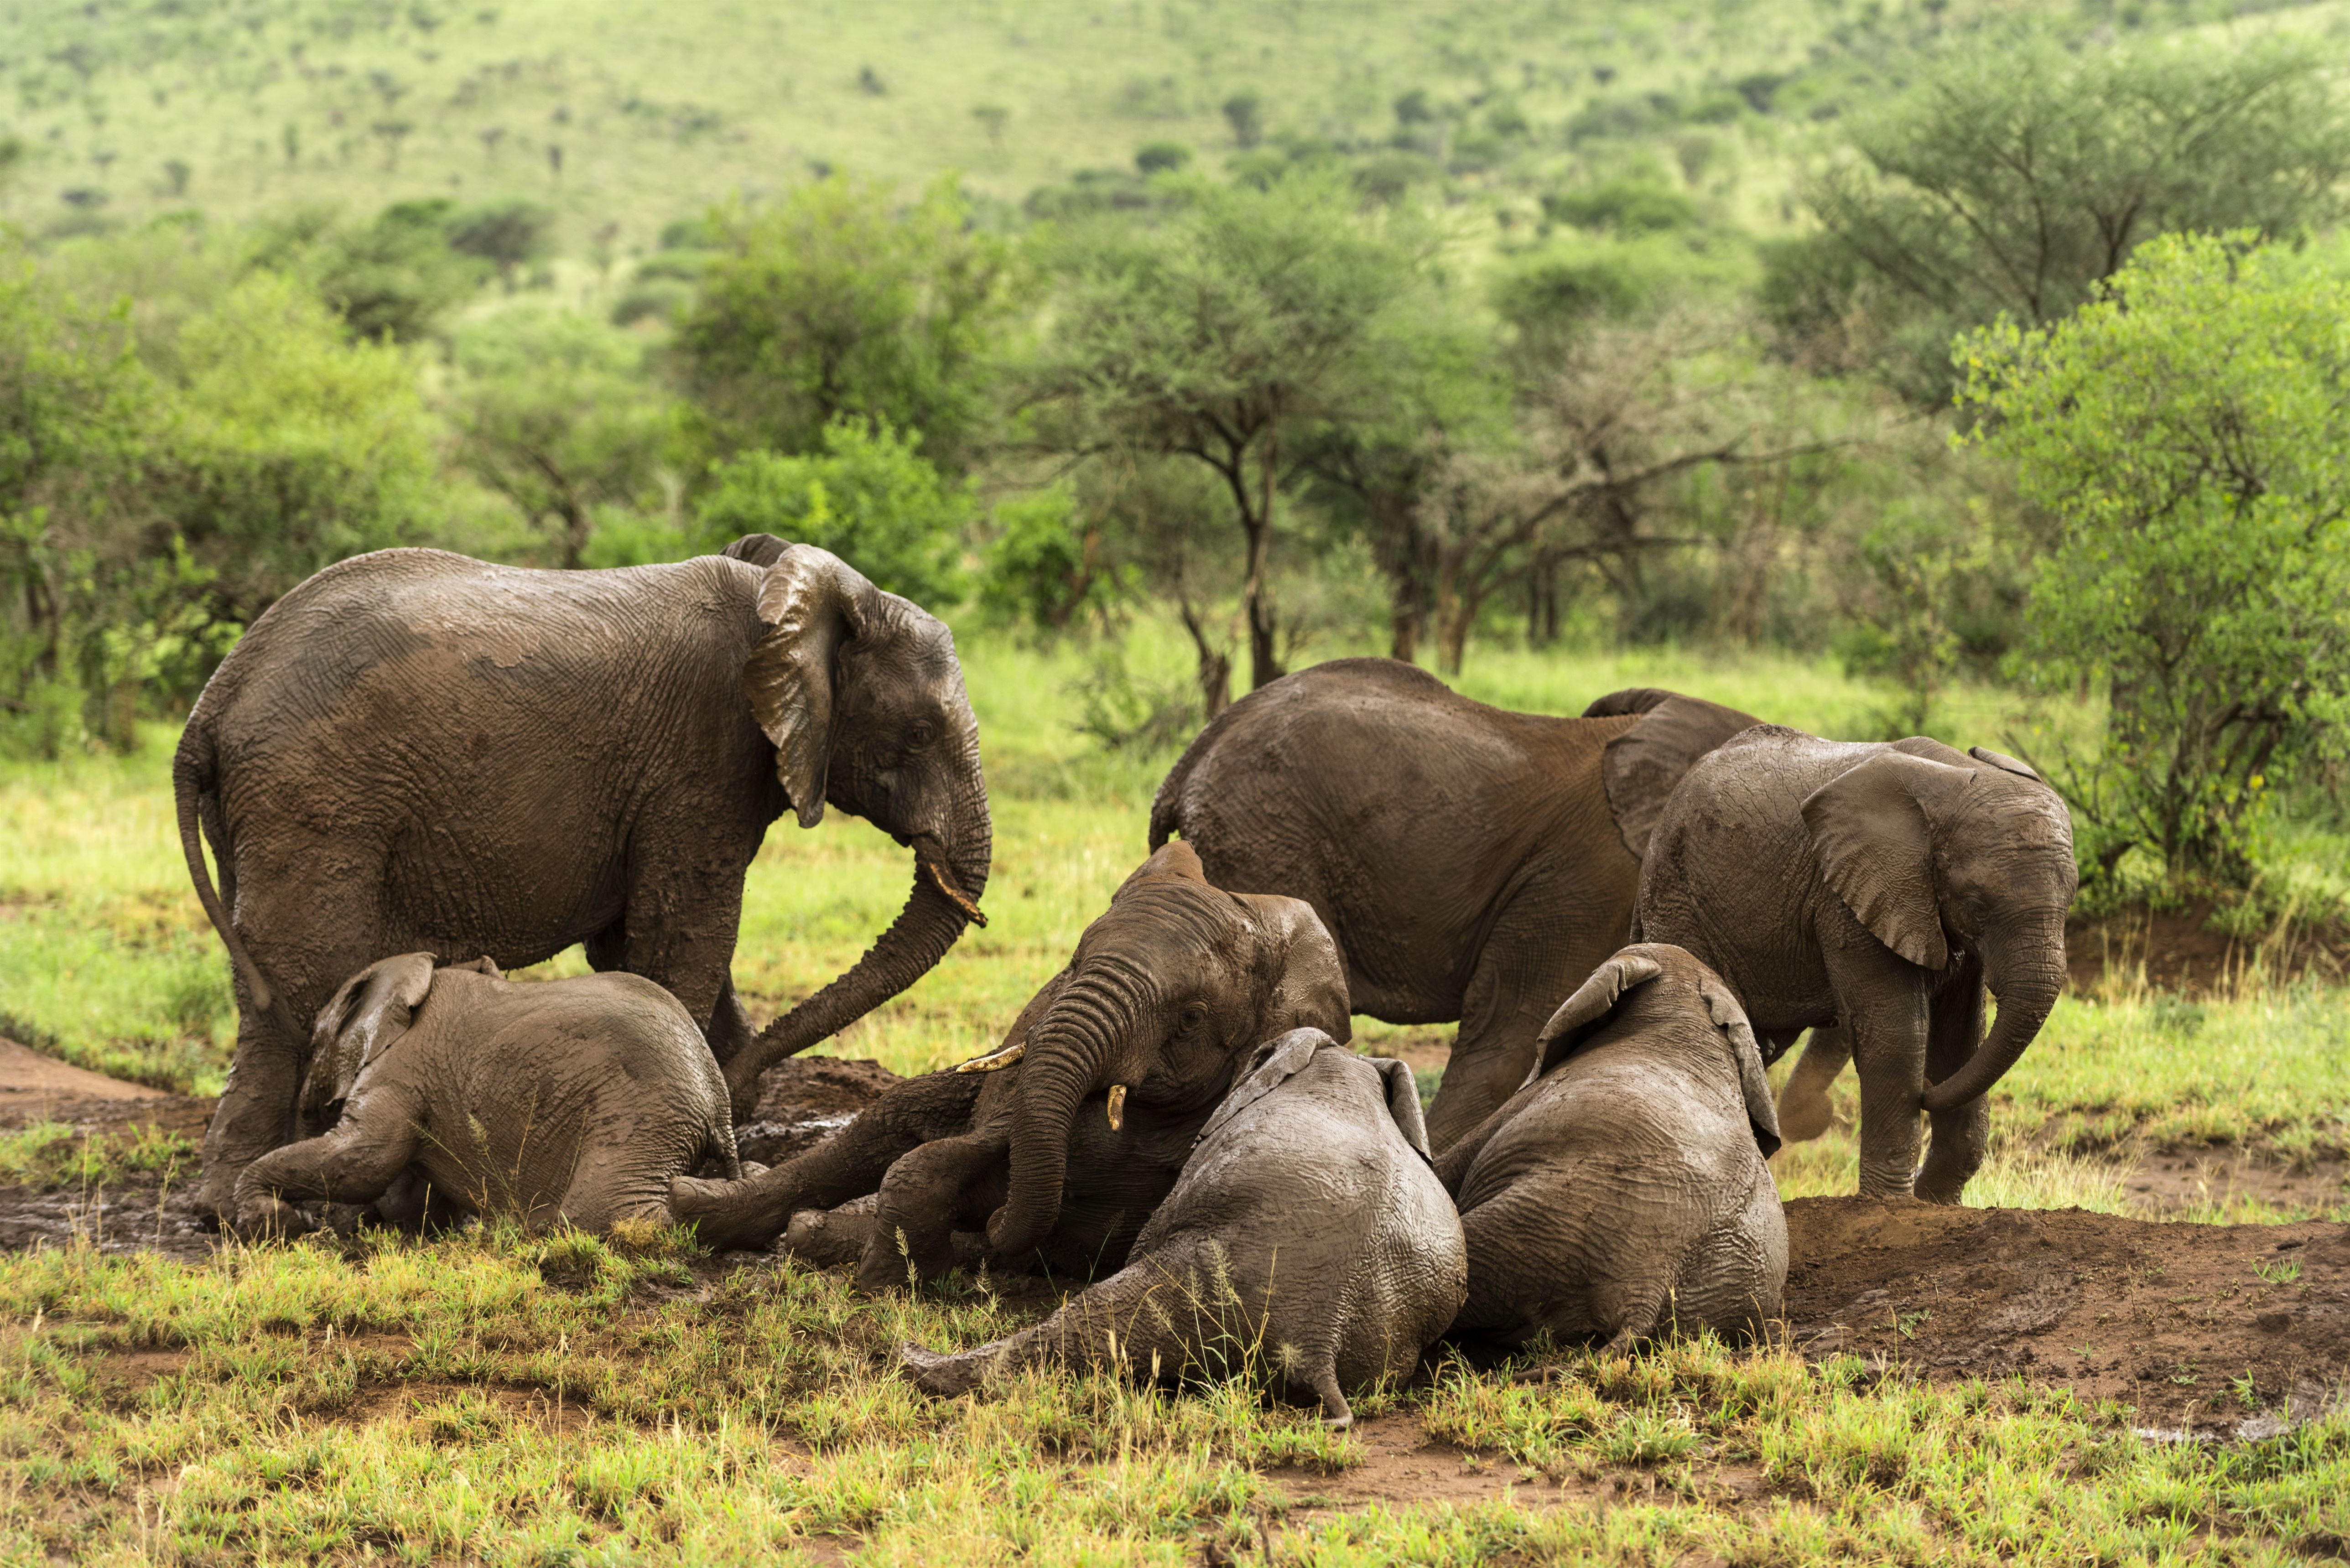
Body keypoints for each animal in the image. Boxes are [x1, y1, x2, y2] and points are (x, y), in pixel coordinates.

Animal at [233, 954, 740, 1237]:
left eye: (313, 1046)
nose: (310, 1223)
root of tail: (718, 1099)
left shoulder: (399, 1072)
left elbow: (364, 1162)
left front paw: (271, 1219)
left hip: (641, 1114)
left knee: (604, 1215)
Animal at [669, 841, 1352, 1288]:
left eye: (1190, 1017)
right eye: (1072, 967)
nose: (995, 1226)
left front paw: (919, 1261)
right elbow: (953, 1152)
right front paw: (894, 1273)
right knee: (886, 1124)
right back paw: (702, 1206)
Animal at [1635, 728, 2078, 1202]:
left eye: (2071, 900)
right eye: (1978, 905)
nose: (1925, 1094)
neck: (1956, 778)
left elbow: (1960, 1040)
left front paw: (1935, 1202)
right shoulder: (1849, 899)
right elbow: (1897, 1031)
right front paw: (1890, 1206)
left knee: (1761, 1045)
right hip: (1679, 898)